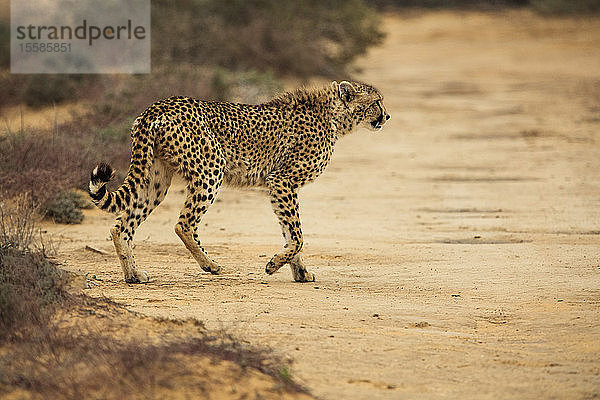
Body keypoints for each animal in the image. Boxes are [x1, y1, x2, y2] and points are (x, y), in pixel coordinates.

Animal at [88, 79, 390, 282]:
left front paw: (300, 272)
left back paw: (133, 274)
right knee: (183, 224)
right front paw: (274, 265)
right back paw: (211, 265)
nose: (386, 116)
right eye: (376, 102)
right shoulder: (282, 180)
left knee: (121, 226)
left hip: (156, 178)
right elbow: (298, 236)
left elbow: (289, 232)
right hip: (211, 169)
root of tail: (158, 105)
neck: (333, 117)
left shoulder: (281, 185)